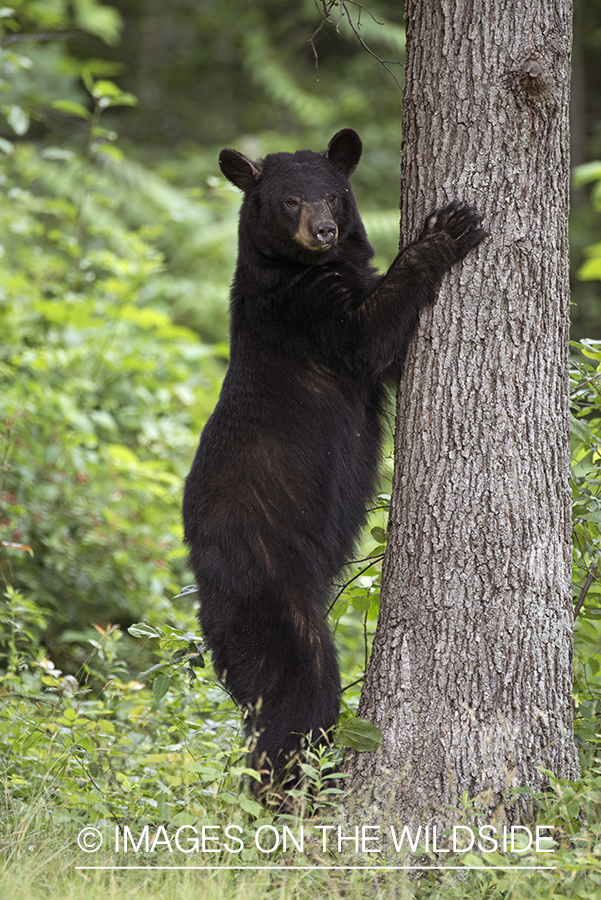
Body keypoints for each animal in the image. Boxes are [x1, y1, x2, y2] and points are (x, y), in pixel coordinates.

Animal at [182, 128, 486, 800]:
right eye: (290, 201)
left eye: (332, 195)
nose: (322, 231)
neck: (302, 270)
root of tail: (202, 580)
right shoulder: (308, 313)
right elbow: (368, 337)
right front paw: (448, 229)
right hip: (272, 578)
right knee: (296, 687)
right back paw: (296, 791)